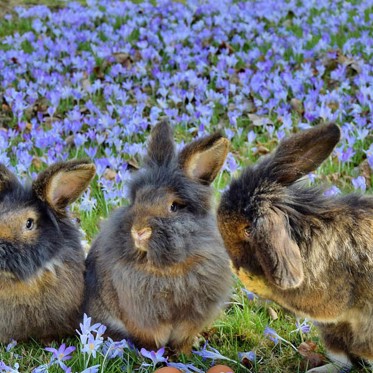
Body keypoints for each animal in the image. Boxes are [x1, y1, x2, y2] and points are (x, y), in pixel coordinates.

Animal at [83, 120, 232, 354]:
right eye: (137, 199)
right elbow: (153, 339)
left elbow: (183, 340)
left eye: (174, 207)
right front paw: (154, 355)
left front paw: (184, 354)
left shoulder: (192, 319)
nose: (139, 231)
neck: (168, 268)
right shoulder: (143, 319)